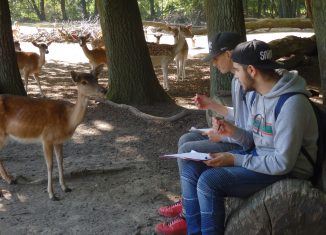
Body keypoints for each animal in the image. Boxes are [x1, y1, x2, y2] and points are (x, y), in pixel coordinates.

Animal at [0, 64, 107, 200]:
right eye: (84, 82)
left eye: (96, 79)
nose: (104, 90)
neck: (67, 121)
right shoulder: (47, 138)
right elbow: (50, 165)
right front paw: (52, 194)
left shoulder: (59, 140)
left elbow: (61, 162)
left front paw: (66, 187)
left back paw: (10, 179)